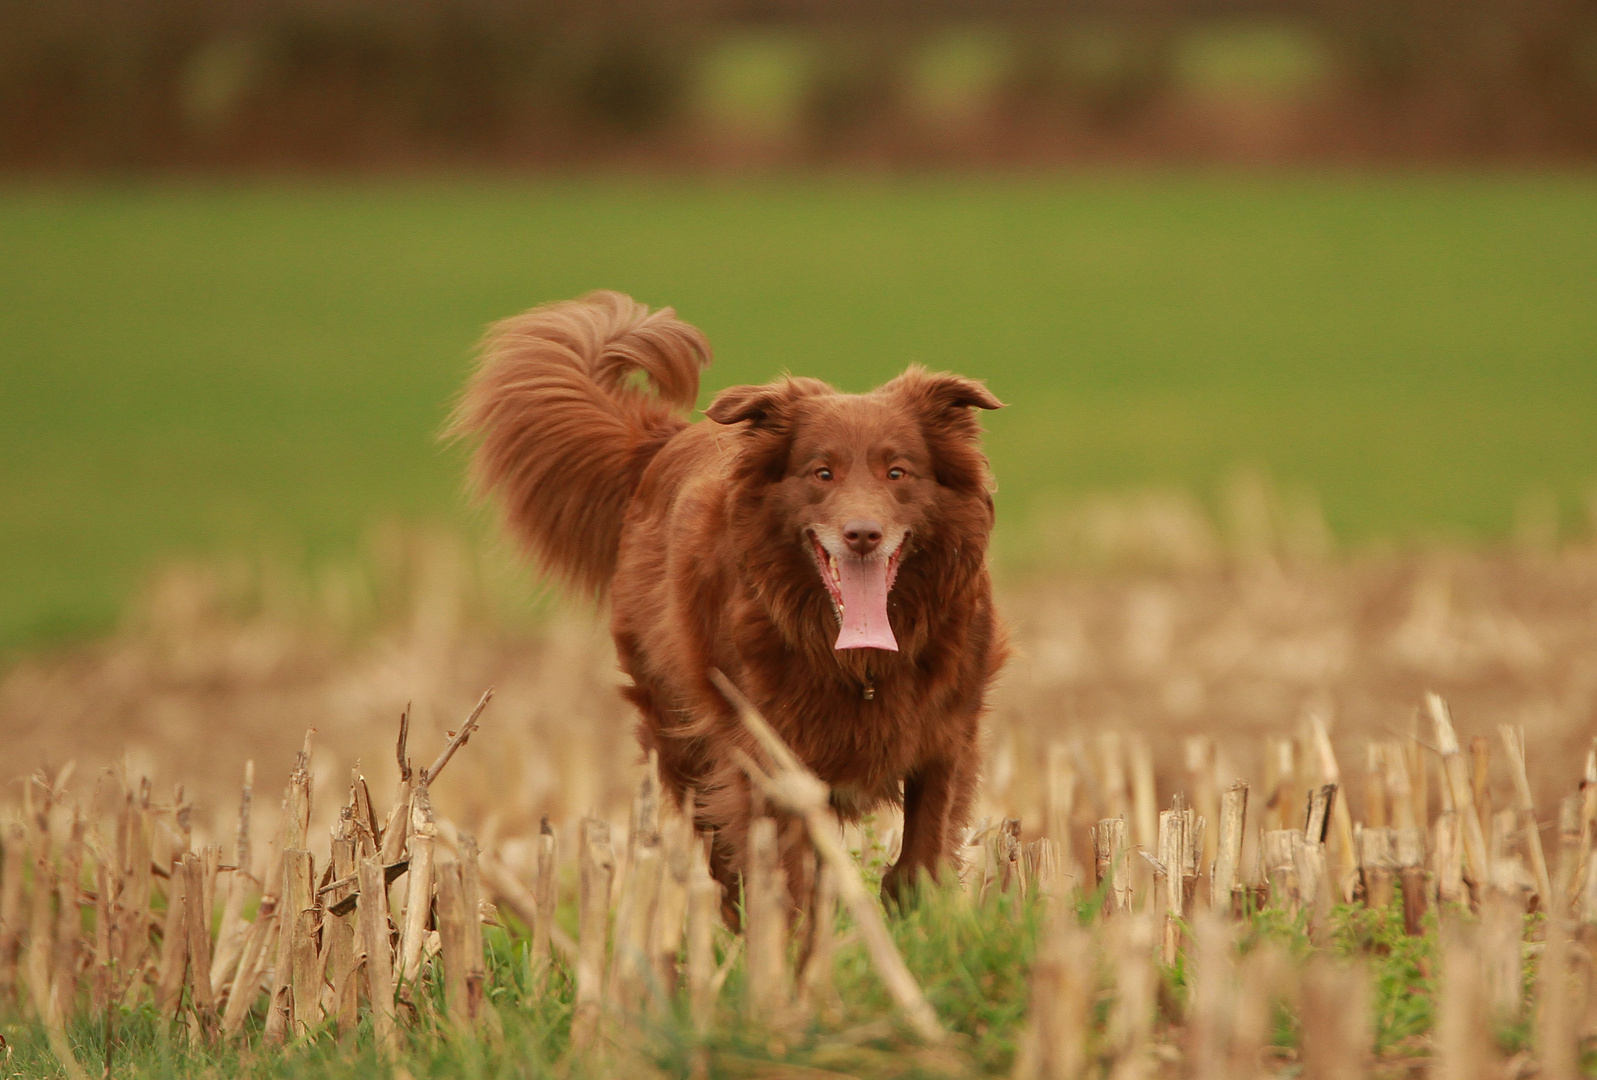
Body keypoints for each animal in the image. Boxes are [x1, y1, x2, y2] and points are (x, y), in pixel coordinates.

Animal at [450, 290, 1002, 907]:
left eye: (898, 472)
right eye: (822, 473)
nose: (863, 534)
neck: (859, 664)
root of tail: (663, 443)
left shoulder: (948, 736)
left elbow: (920, 861)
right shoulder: (763, 757)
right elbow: (785, 876)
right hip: (682, 733)